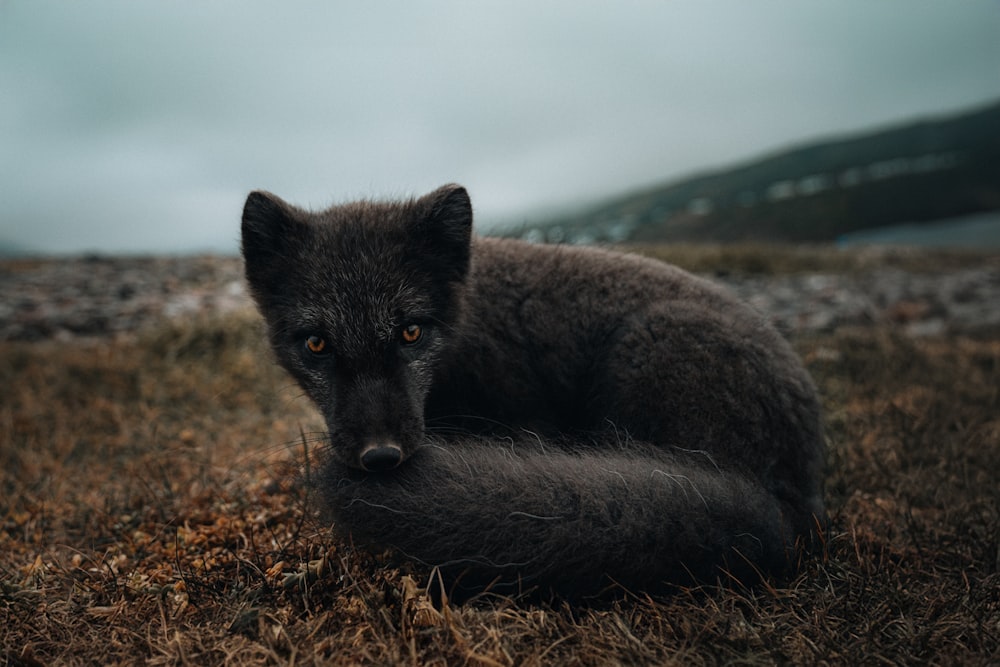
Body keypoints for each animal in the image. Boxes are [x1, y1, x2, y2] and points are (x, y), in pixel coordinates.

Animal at [242, 181, 828, 600]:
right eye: (316, 344)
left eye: (411, 332)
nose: (380, 456)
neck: (466, 334)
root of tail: (790, 507)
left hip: (644, 356)